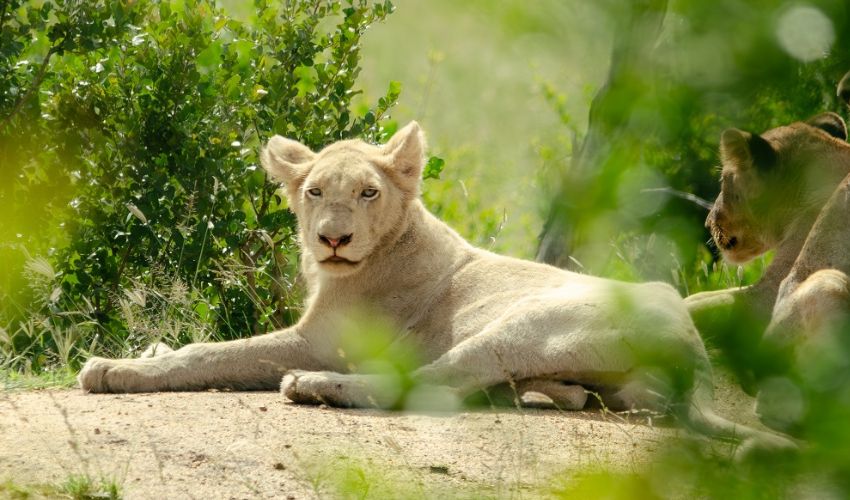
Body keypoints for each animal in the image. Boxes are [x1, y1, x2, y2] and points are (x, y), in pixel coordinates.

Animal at [79, 122, 789, 451]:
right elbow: (190, 348)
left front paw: (113, 368)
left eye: (368, 192)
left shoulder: (318, 341)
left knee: (426, 383)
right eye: (315, 192)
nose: (333, 239)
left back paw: (316, 389)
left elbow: (214, 353)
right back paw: (549, 393)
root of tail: (695, 355)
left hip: (519, 326)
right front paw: (147, 352)